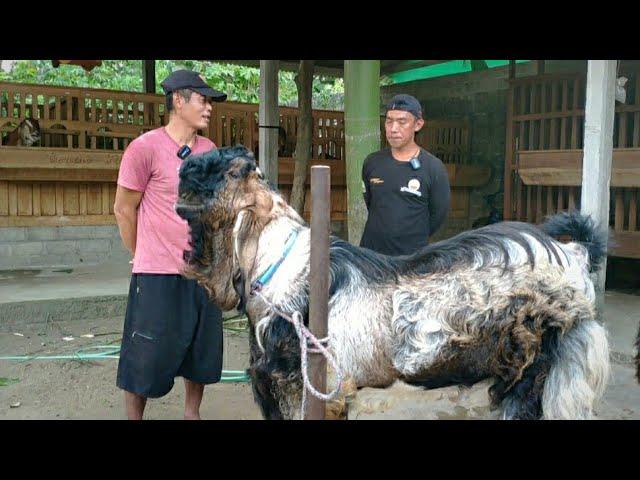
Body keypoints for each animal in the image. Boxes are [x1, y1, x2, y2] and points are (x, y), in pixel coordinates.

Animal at [175, 146, 608, 420]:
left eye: (224, 171)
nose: (182, 164)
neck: (280, 268)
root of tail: (576, 253)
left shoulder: (315, 389)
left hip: (545, 374)